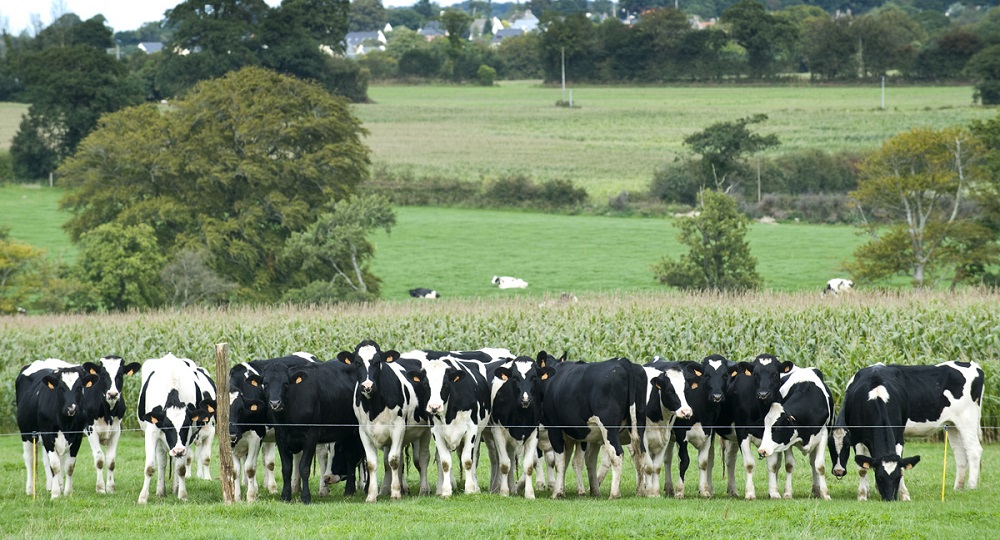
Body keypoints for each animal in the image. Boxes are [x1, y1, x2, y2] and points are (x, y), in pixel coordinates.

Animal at [17, 358, 99, 498]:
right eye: (60, 388)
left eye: (79, 388)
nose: (71, 408)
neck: (65, 422)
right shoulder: (46, 434)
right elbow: (54, 465)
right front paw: (55, 494)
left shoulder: (77, 436)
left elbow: (69, 466)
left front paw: (66, 492)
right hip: (26, 434)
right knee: (30, 459)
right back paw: (30, 489)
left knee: (52, 461)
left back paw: (55, 485)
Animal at [137, 354, 215, 502]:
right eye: (167, 426)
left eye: (186, 425)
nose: (178, 450)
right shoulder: (152, 432)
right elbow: (150, 467)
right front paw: (143, 497)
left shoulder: (187, 438)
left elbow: (180, 468)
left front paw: (182, 495)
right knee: (162, 462)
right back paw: (161, 490)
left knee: (173, 463)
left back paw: (174, 488)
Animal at [338, 342, 432, 502]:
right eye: (357, 363)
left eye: (377, 362)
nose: (367, 386)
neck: (374, 406)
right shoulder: (363, 431)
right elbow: (372, 463)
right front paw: (372, 495)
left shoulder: (398, 428)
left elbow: (393, 460)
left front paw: (395, 493)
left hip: (426, 430)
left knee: (423, 458)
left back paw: (424, 490)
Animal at [544, 356, 644, 500]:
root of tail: (621, 361)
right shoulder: (574, 436)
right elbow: (571, 460)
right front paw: (564, 490)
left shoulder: (554, 429)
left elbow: (560, 462)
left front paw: (557, 493)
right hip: (637, 425)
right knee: (640, 454)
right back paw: (641, 491)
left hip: (609, 428)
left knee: (617, 454)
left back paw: (614, 494)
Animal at [756, 364, 836, 500]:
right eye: (764, 427)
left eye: (777, 428)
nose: (762, 450)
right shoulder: (788, 441)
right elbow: (789, 465)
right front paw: (787, 493)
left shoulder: (823, 435)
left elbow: (819, 465)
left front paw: (825, 494)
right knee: (776, 465)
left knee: (812, 462)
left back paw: (817, 490)